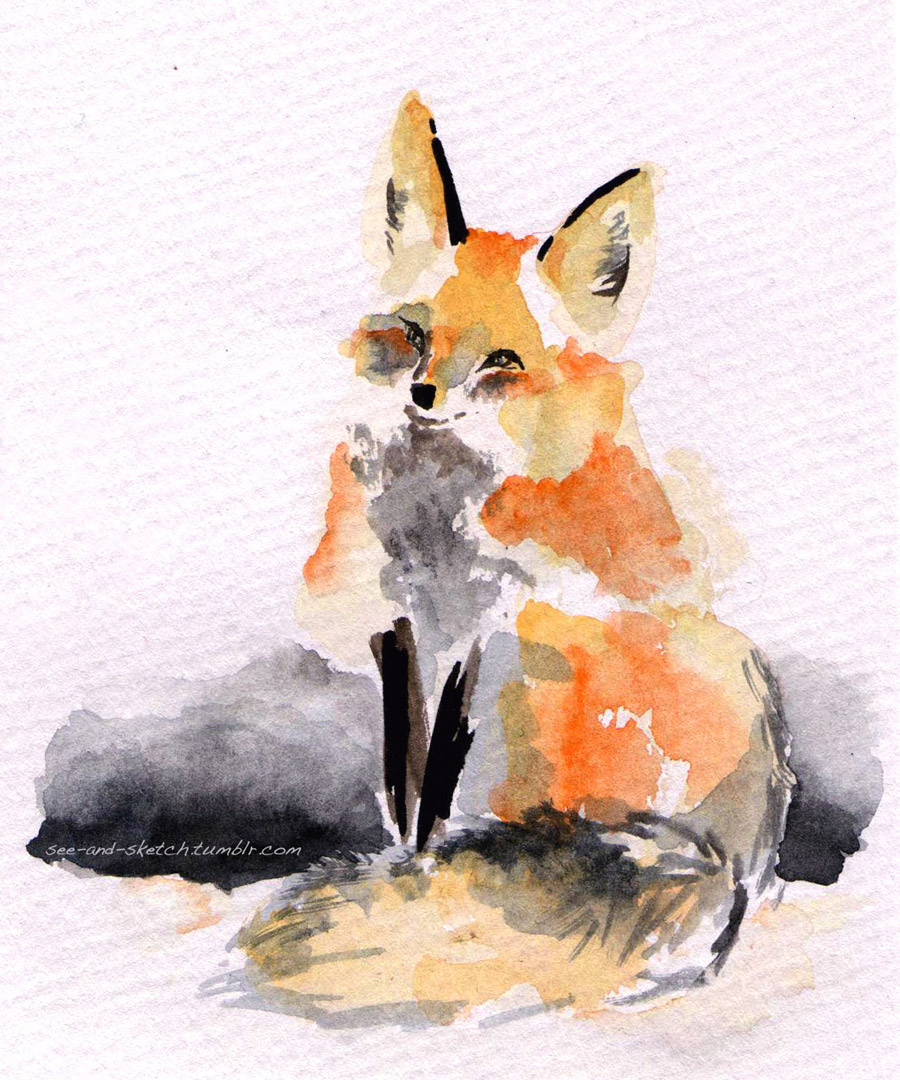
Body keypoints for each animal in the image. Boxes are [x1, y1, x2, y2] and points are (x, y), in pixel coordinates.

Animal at [239, 92, 795, 1023]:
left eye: (501, 362)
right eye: (414, 334)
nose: (425, 395)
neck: (434, 515)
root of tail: (734, 870)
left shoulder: (483, 621)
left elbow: (438, 772)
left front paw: (416, 879)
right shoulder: (398, 621)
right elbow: (404, 776)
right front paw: (407, 863)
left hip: (555, 655)